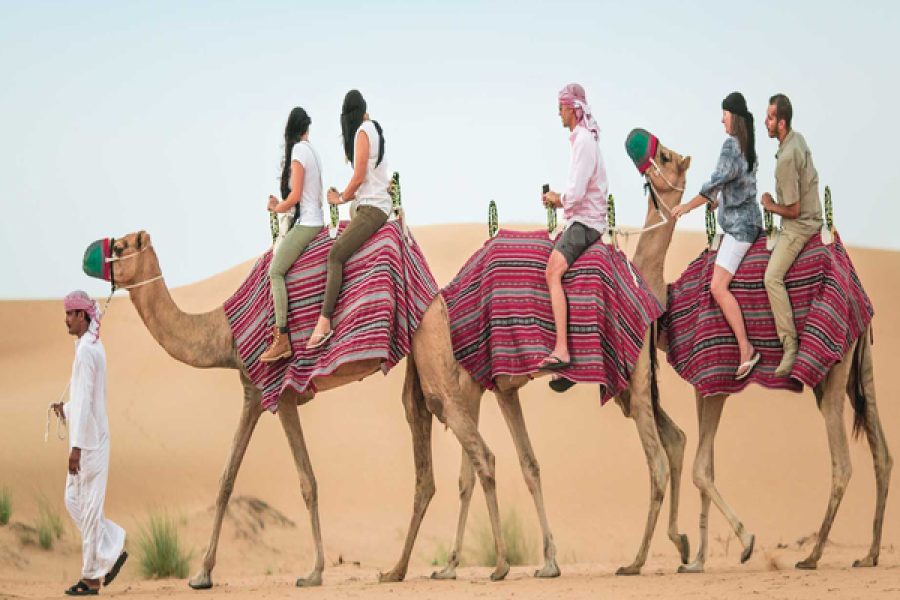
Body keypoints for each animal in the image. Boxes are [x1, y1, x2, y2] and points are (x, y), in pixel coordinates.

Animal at [104, 230, 513, 588]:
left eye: (120, 246)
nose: (95, 261)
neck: (224, 333)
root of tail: (434, 290)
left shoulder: (280, 393)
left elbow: (307, 481)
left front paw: (313, 572)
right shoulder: (253, 393)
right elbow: (226, 479)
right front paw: (202, 574)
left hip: (428, 338)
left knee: (477, 447)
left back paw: (500, 566)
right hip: (418, 348)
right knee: (423, 449)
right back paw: (395, 570)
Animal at [430, 139, 694, 578]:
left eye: (666, 157)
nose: (644, 150)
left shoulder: (487, 382)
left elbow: (489, 466)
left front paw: (500, 564)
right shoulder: (496, 384)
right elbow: (514, 465)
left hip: (633, 384)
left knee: (656, 461)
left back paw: (636, 561)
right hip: (634, 387)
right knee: (674, 440)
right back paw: (681, 545)